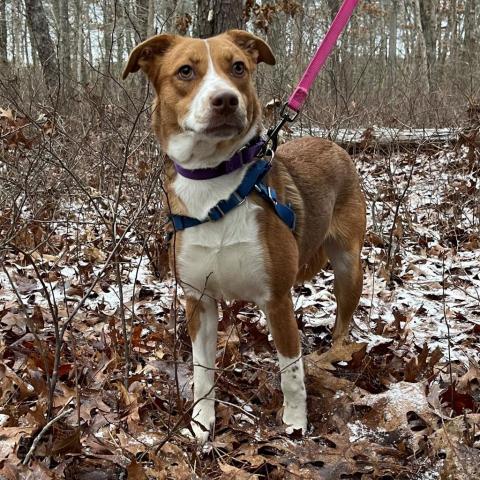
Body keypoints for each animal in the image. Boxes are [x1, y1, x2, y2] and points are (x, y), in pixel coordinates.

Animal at [123, 29, 364, 442]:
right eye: (185, 71)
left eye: (238, 67)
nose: (225, 99)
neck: (215, 184)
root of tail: (332, 143)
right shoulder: (198, 300)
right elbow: (202, 372)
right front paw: (202, 423)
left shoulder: (277, 299)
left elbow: (291, 372)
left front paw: (296, 423)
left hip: (349, 267)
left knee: (342, 323)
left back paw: (335, 354)